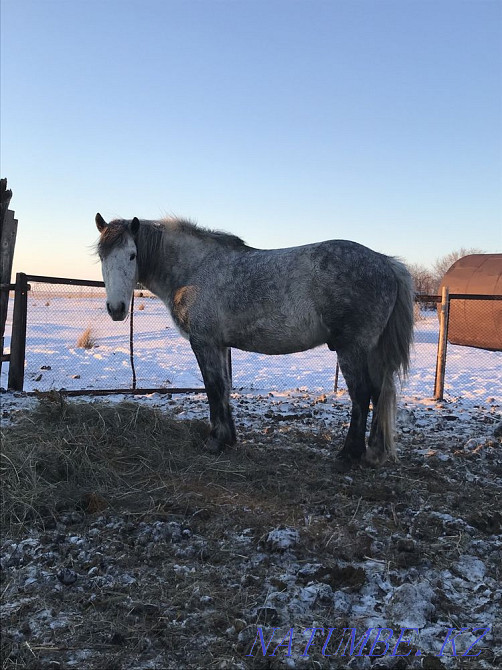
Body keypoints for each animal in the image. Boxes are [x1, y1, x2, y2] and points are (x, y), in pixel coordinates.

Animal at [95, 213, 414, 470]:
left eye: (132, 255)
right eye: (102, 257)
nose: (116, 309)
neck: (194, 268)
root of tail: (385, 262)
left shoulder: (203, 342)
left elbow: (213, 388)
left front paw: (215, 441)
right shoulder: (220, 345)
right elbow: (223, 388)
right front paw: (228, 439)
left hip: (352, 349)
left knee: (362, 394)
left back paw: (349, 454)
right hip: (371, 351)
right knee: (378, 393)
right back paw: (374, 453)